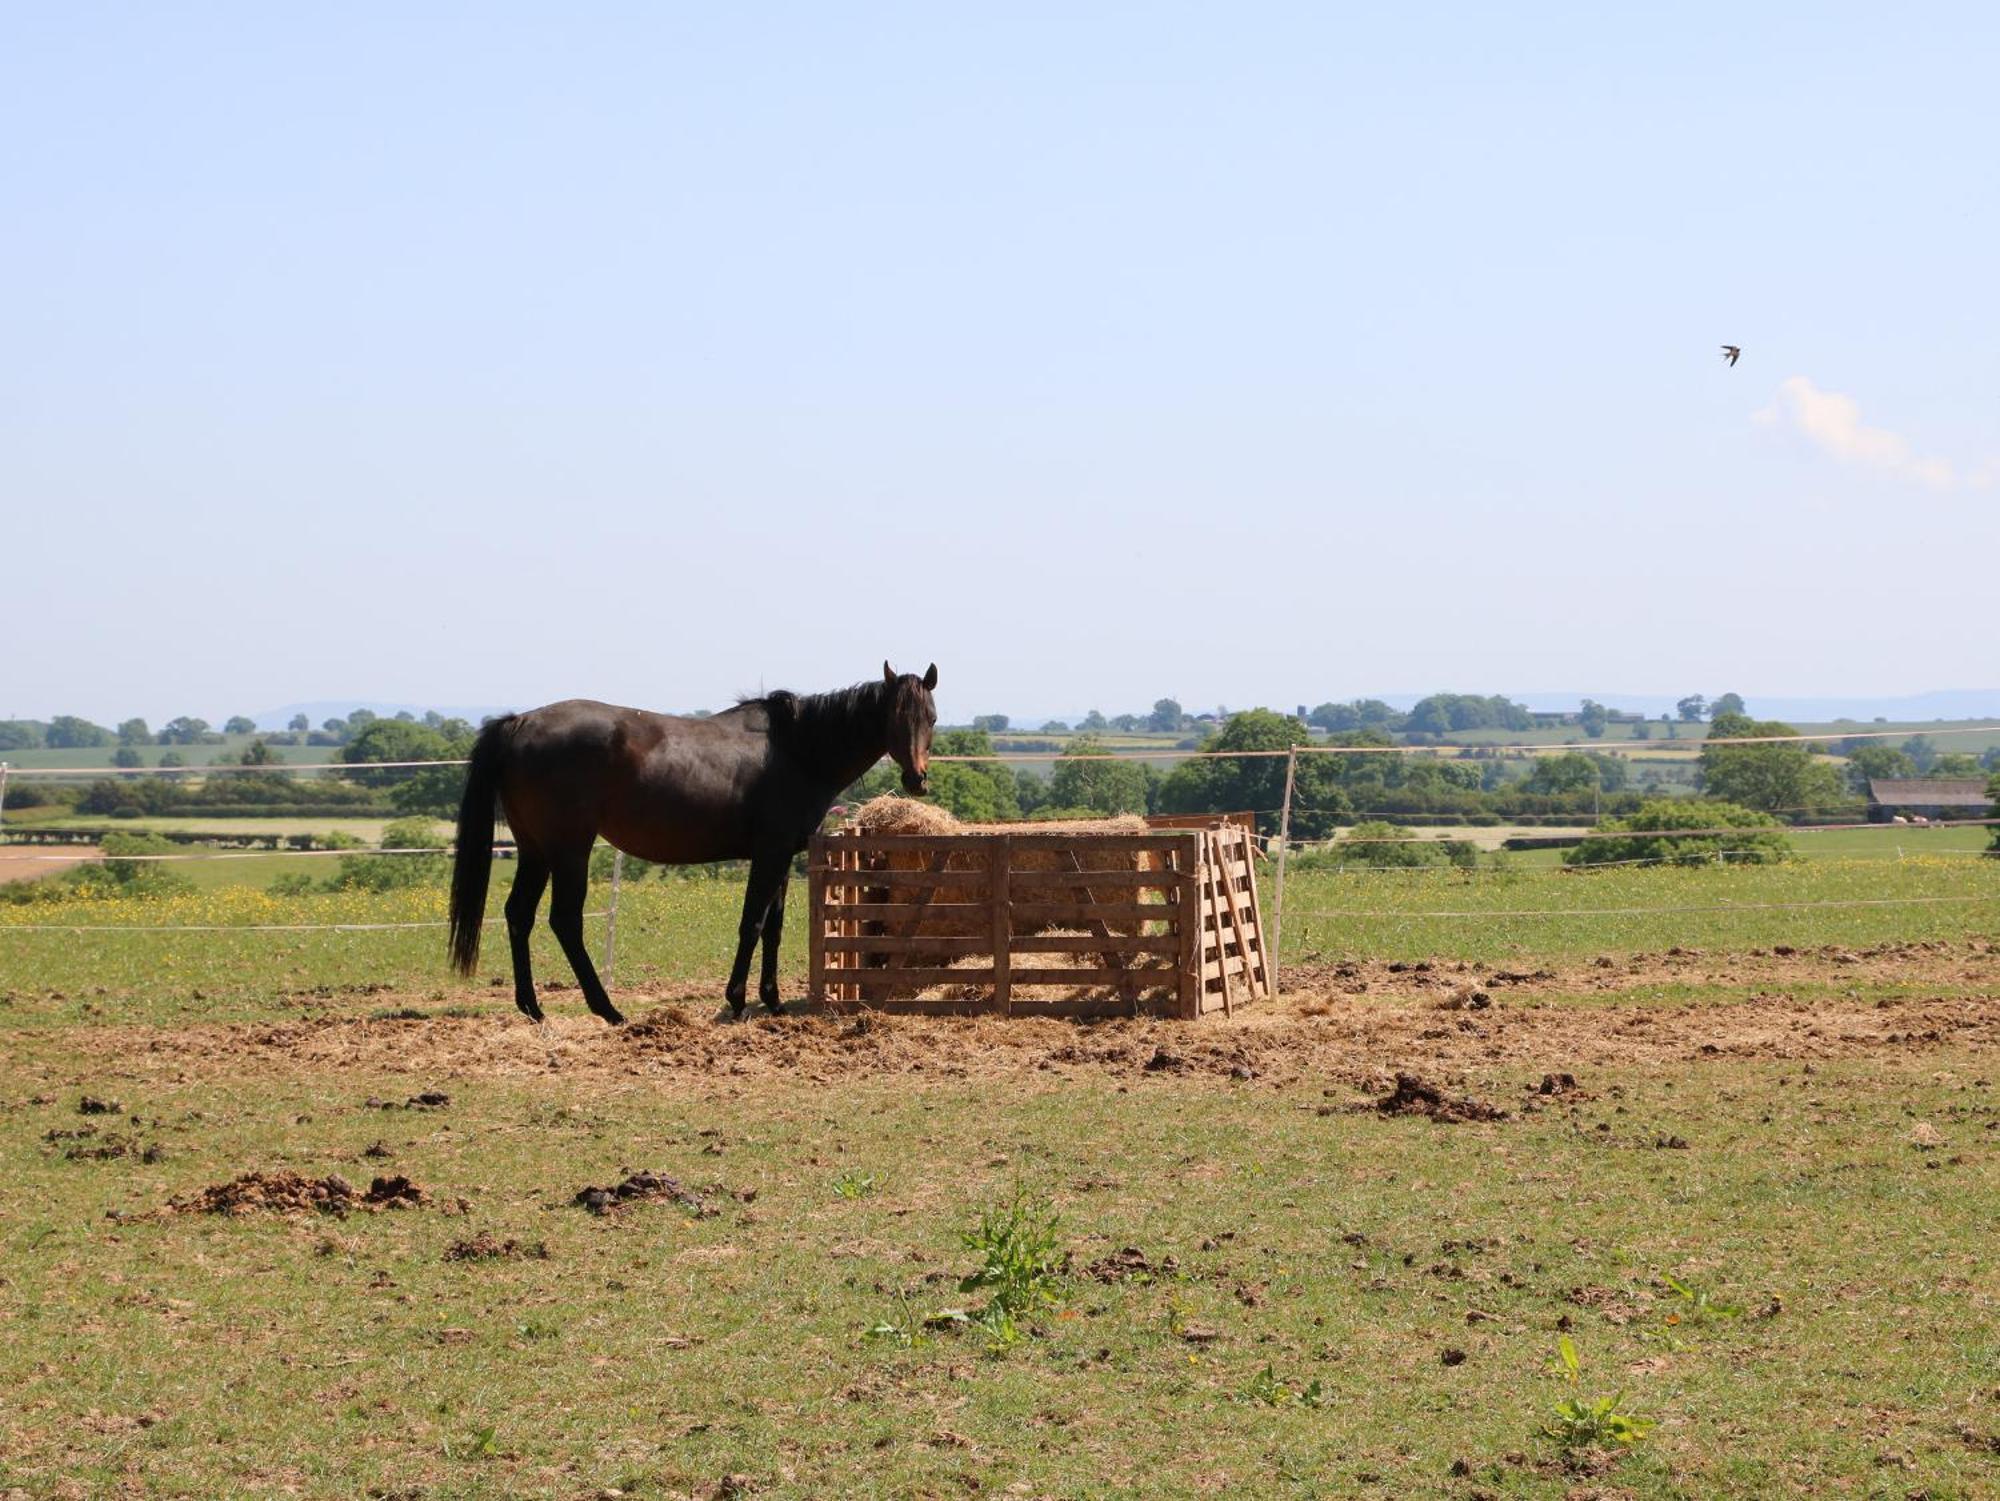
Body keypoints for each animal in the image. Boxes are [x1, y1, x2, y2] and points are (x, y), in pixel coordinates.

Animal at [454, 668, 936, 1032]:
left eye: (930, 717)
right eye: (896, 715)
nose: (916, 779)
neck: (798, 750)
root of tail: (519, 722)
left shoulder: (784, 857)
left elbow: (774, 928)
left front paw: (773, 1002)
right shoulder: (771, 853)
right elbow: (752, 923)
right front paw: (737, 1000)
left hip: (534, 850)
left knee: (519, 914)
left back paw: (534, 1009)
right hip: (570, 851)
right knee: (565, 921)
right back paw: (608, 1010)